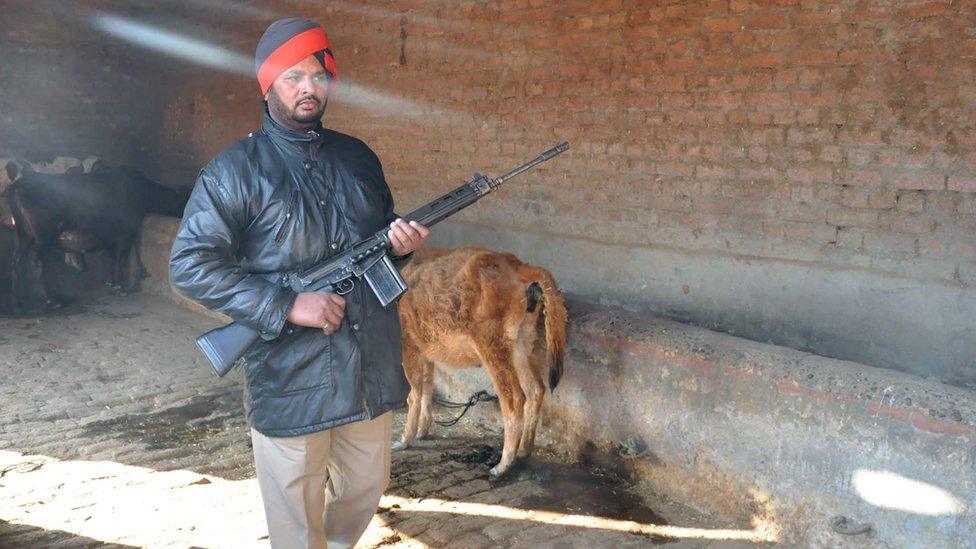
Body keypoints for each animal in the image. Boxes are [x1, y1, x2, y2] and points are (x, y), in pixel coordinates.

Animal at [5, 163, 187, 308]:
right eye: (184, 202)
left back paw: (17, 300)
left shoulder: (114, 237)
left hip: (22, 235)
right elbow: (121, 259)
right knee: (37, 264)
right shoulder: (124, 234)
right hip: (43, 237)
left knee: (15, 262)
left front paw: (112, 283)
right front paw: (122, 288)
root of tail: (17, 185)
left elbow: (112, 259)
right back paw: (54, 300)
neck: (140, 191)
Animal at [394, 246, 568, 478]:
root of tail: (521, 267)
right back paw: (524, 451)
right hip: (520, 343)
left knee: (514, 399)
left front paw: (404, 441)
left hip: (492, 346)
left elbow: (414, 394)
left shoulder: (408, 343)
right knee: (536, 389)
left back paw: (502, 466)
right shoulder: (427, 349)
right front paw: (422, 431)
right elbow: (427, 388)